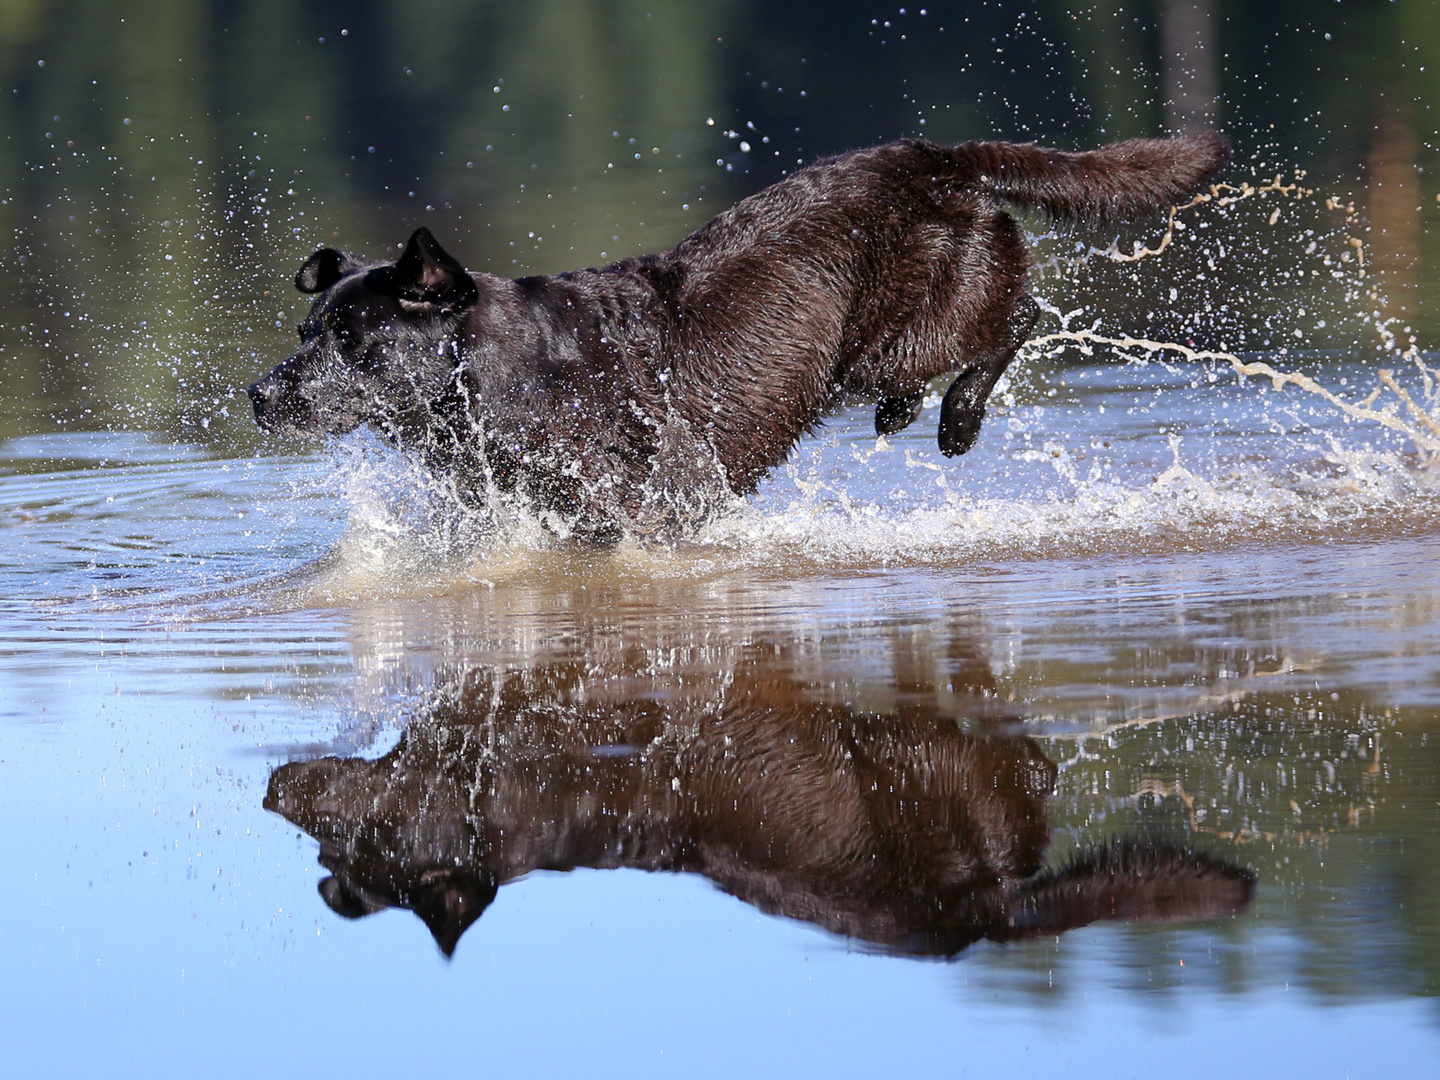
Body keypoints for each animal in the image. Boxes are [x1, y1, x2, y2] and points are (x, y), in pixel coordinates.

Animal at [247, 135, 1226, 541]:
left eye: (352, 340)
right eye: (304, 329)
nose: (259, 395)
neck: (502, 376)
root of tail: (939, 158)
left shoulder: (663, 502)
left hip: (907, 327)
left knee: (1016, 321)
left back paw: (957, 421)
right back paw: (904, 415)